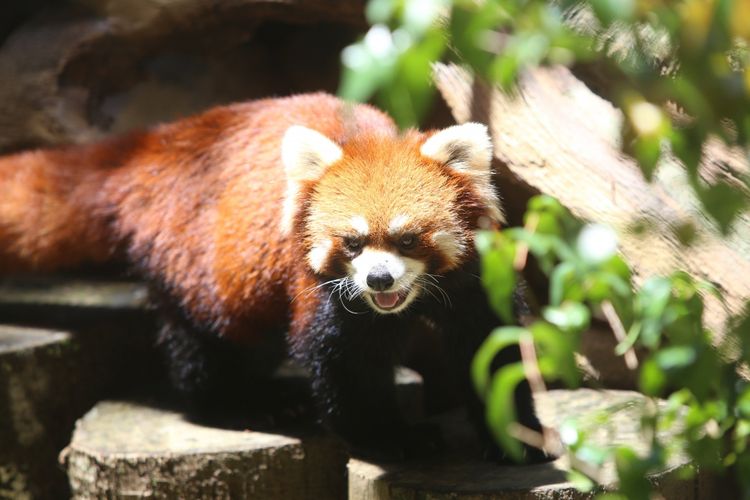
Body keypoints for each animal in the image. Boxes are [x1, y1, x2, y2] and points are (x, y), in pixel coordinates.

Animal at [0, 93, 548, 460]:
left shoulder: (474, 281)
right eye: (352, 243)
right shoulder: (323, 290)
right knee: (208, 345)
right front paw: (392, 438)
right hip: (198, 266)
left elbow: (490, 349)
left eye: (408, 239)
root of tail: (153, 147)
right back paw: (242, 403)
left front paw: (517, 437)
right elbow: (343, 361)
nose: (378, 280)